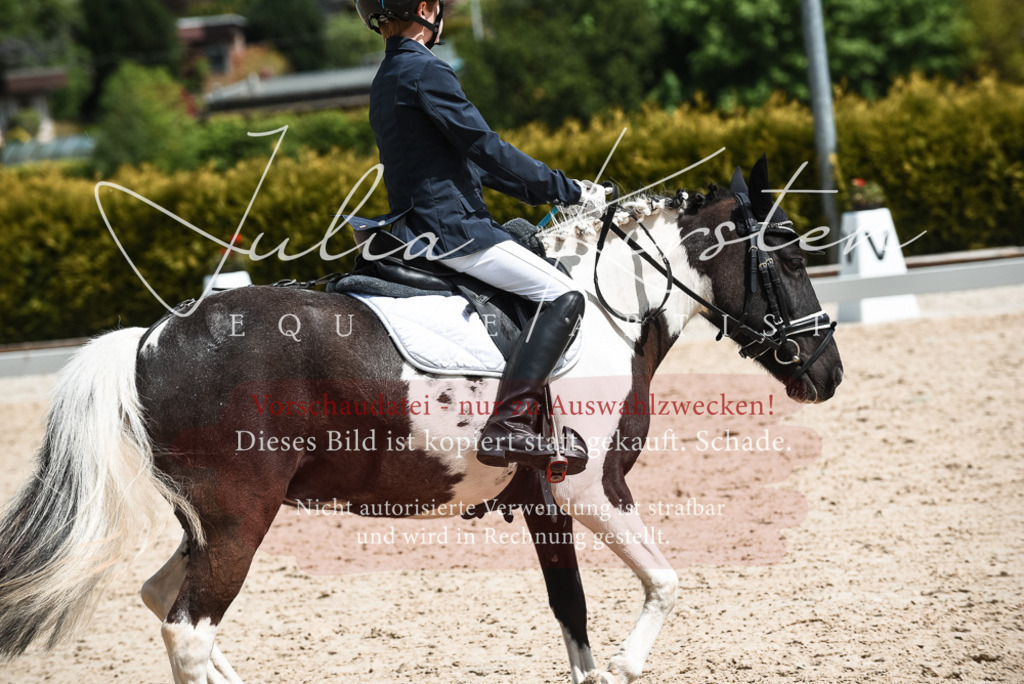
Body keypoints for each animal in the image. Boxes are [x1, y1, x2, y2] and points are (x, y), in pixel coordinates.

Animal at [0, 155, 843, 683]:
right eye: (790, 257)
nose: (828, 375)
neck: (609, 305)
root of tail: (151, 337)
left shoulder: (543, 499)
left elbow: (571, 613)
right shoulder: (591, 489)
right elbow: (665, 583)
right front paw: (632, 665)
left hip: (208, 522)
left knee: (165, 605)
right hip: (241, 518)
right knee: (187, 629)